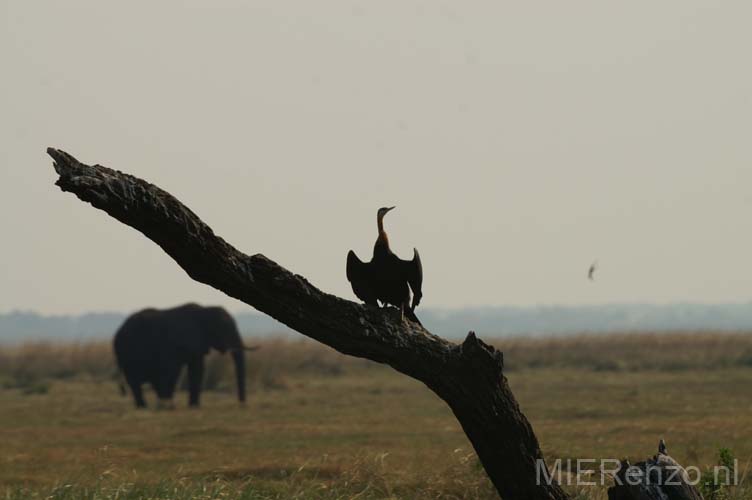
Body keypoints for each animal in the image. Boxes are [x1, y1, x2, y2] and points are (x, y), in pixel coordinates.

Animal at [111, 302, 253, 408]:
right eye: (227, 328)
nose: (242, 405)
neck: (205, 310)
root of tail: (117, 333)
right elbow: (174, 371)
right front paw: (171, 405)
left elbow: (197, 369)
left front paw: (194, 406)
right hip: (128, 351)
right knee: (135, 379)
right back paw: (144, 406)